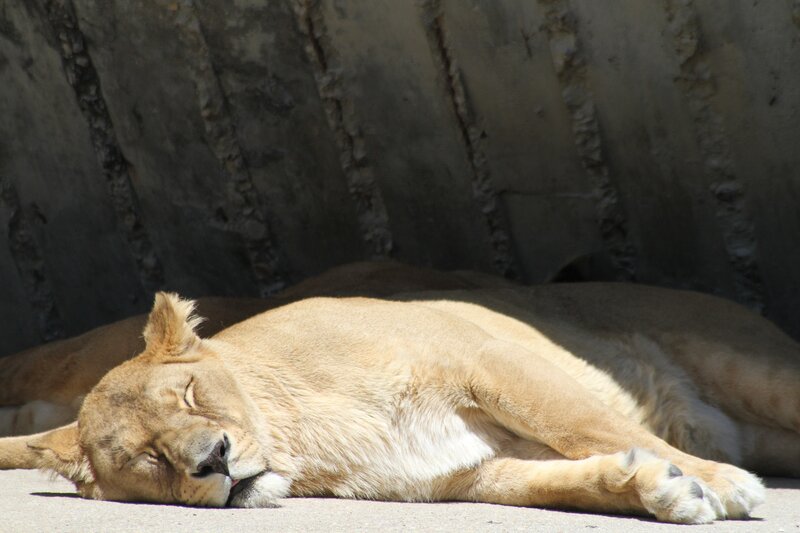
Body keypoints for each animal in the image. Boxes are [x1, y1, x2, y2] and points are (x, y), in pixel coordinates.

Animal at [5, 277, 797, 523]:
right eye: (150, 457)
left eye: (191, 394)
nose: (215, 460)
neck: (304, 436)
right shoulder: (467, 472)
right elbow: (568, 480)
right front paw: (658, 487)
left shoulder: (489, 358)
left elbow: (583, 424)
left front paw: (722, 484)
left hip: (758, 370)